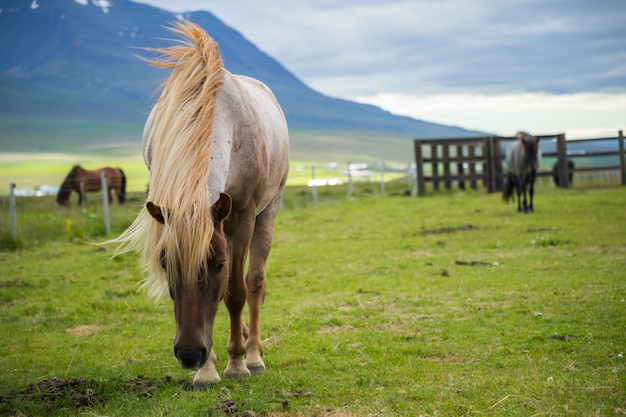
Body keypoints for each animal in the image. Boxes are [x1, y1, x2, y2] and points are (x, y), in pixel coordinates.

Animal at [111, 21, 288, 388]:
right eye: (165, 264)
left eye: (218, 264)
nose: (191, 355)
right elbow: (213, 301)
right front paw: (208, 371)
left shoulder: (241, 218)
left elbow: (234, 291)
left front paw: (236, 364)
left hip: (267, 212)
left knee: (254, 281)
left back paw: (253, 353)